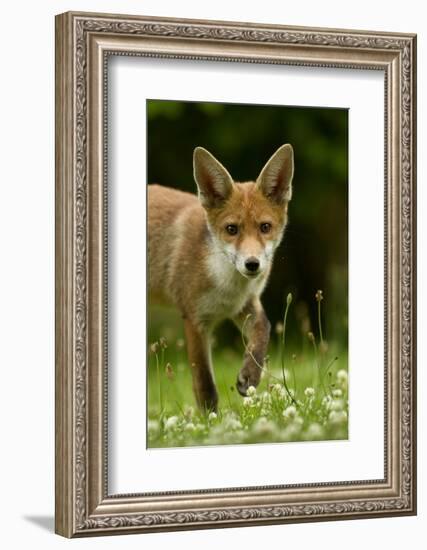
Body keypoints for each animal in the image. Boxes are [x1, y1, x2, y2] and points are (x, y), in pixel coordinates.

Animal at [148, 144, 294, 412]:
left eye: (265, 227)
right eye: (231, 229)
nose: (252, 264)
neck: (227, 286)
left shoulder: (243, 304)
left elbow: (264, 329)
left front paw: (251, 374)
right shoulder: (195, 319)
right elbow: (205, 386)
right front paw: (210, 420)